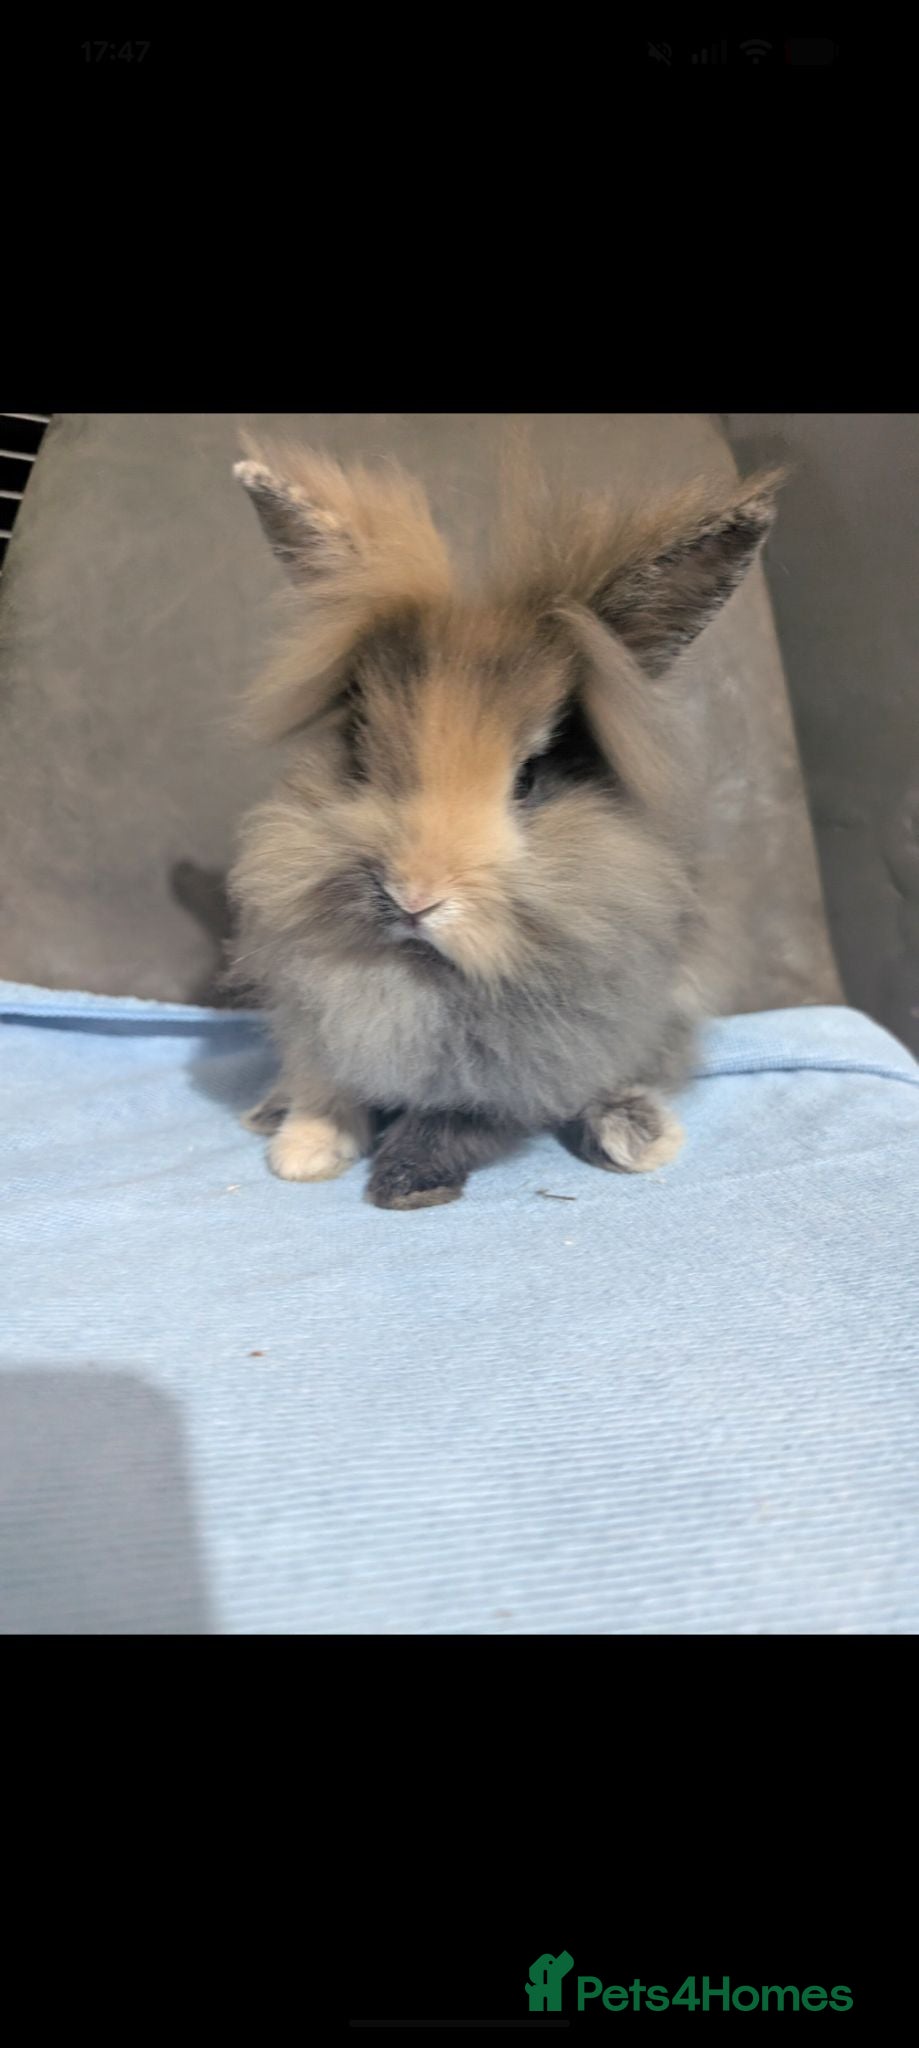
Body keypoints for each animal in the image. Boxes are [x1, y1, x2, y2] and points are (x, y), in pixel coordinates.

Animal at [228, 435, 783, 1208]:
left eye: (528, 779)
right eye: (361, 752)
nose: (415, 896)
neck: (420, 971)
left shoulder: (514, 1067)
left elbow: (456, 1116)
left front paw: (407, 1183)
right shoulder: (318, 1018)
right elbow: (326, 1080)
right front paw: (305, 1151)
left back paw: (635, 1135)